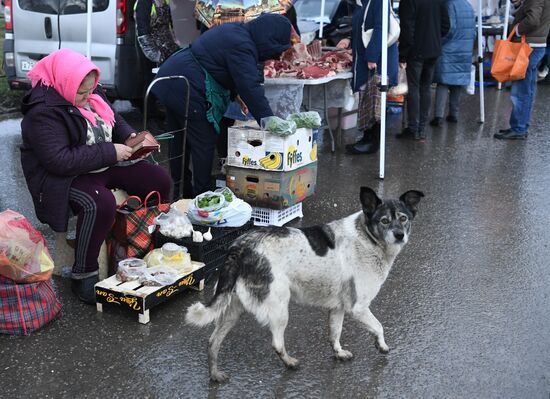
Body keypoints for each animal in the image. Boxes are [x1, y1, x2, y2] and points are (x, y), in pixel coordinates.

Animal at [188, 188, 424, 384]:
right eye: (384, 221)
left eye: (403, 218)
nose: (400, 235)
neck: (367, 237)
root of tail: (239, 246)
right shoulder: (358, 308)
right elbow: (379, 326)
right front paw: (382, 345)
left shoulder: (338, 308)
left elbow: (335, 334)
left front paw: (339, 352)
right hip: (279, 306)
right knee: (276, 343)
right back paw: (290, 362)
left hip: (232, 309)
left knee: (213, 342)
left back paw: (215, 375)